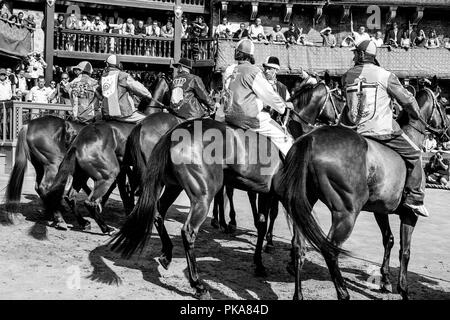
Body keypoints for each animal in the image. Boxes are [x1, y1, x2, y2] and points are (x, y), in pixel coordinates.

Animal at [109, 80, 344, 300]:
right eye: (340, 97)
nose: (342, 120)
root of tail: (174, 131)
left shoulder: (263, 192)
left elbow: (261, 223)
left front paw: (258, 261)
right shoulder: (278, 195)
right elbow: (270, 223)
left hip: (173, 186)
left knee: (158, 211)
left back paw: (166, 253)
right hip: (202, 195)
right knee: (188, 231)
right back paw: (198, 285)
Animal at [278, 85, 450, 300]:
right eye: (443, 106)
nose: (446, 131)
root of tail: (311, 138)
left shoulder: (380, 210)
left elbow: (388, 240)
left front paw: (385, 280)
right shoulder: (409, 214)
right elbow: (405, 251)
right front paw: (403, 289)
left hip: (304, 205)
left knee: (298, 246)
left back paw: (298, 293)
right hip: (346, 214)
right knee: (330, 250)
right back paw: (343, 293)